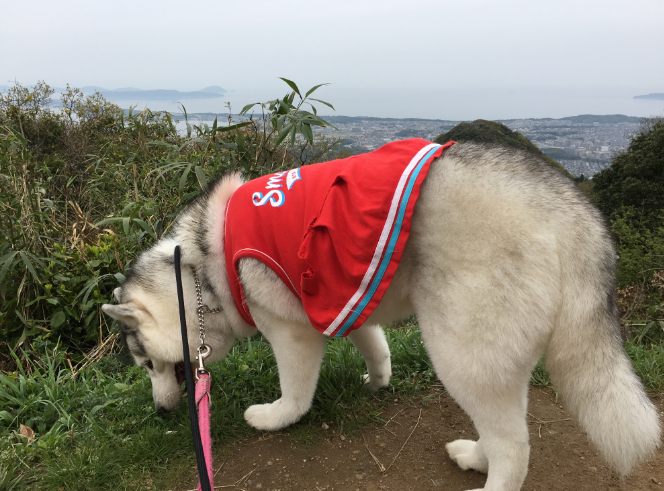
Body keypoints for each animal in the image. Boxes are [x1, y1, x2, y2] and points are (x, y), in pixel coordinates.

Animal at [103, 142, 660, 491]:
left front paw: (278, 417)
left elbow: (296, 392)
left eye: (147, 364)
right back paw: (473, 455)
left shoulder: (291, 334)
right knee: (506, 426)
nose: (160, 413)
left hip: (461, 353)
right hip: (492, 357)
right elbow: (376, 347)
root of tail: (570, 208)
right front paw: (377, 381)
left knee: (516, 447)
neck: (200, 269)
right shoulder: (347, 299)